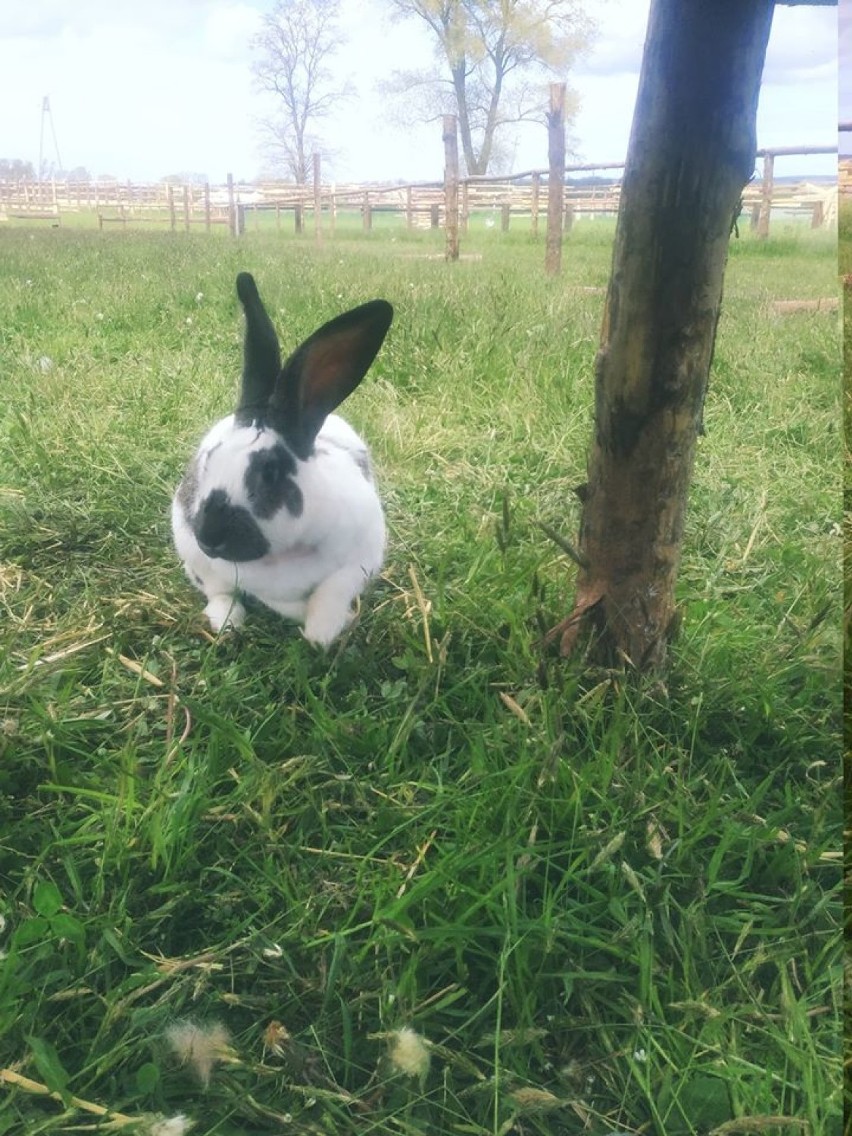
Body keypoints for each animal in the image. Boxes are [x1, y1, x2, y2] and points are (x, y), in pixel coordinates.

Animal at [173, 273, 393, 645]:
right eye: (209, 460)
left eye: (270, 472)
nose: (208, 537)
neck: (289, 551)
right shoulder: (248, 581)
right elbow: (281, 604)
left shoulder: (363, 556)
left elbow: (334, 589)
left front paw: (324, 631)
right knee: (218, 593)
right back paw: (227, 622)